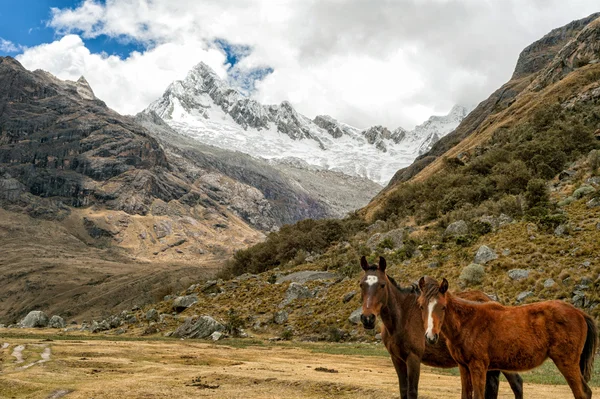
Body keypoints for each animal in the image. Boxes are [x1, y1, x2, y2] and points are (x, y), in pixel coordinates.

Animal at [358, 256, 524, 399]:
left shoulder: (413, 358)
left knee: (516, 383)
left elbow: (412, 392)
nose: (367, 318)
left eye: (382, 285)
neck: (403, 317)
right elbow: (403, 390)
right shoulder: (397, 359)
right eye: (361, 285)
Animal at [420, 276, 596, 399]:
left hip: (566, 362)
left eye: (443, 307)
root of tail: (580, 313)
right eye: (421, 306)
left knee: (581, 393)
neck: (467, 322)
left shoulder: (478, 366)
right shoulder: (464, 367)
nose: (431, 337)